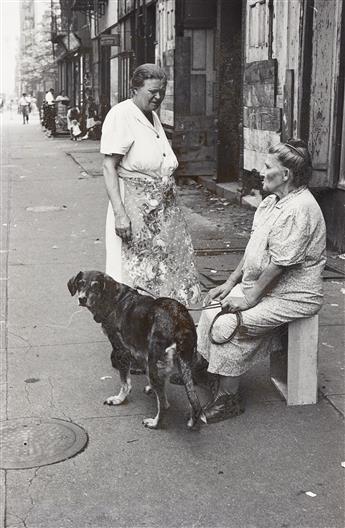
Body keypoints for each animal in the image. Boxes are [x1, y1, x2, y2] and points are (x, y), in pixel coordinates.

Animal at [67, 272, 204, 428]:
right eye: (81, 283)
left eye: (95, 285)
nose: (82, 298)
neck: (114, 300)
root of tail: (180, 322)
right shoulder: (143, 353)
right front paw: (150, 388)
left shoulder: (122, 352)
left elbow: (125, 383)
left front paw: (119, 399)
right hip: (184, 363)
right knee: (193, 401)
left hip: (156, 361)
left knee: (165, 404)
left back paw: (155, 423)